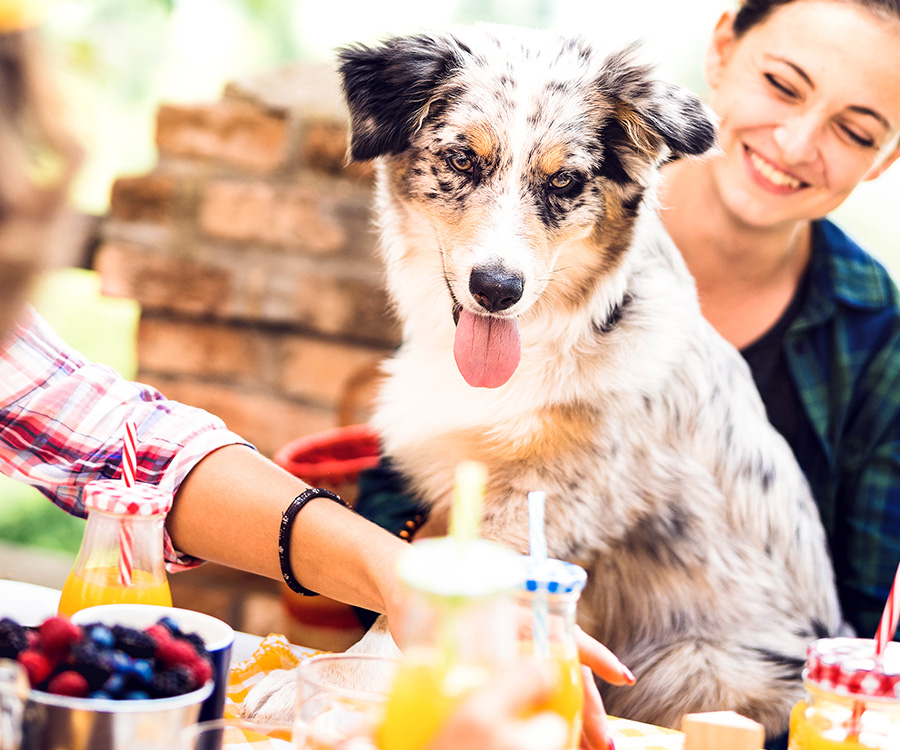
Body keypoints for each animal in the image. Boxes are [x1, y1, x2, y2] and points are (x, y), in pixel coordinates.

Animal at [246, 25, 844, 740]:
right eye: (462, 160)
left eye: (564, 180)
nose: (497, 289)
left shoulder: (549, 498)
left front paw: (326, 687)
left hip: (700, 663)